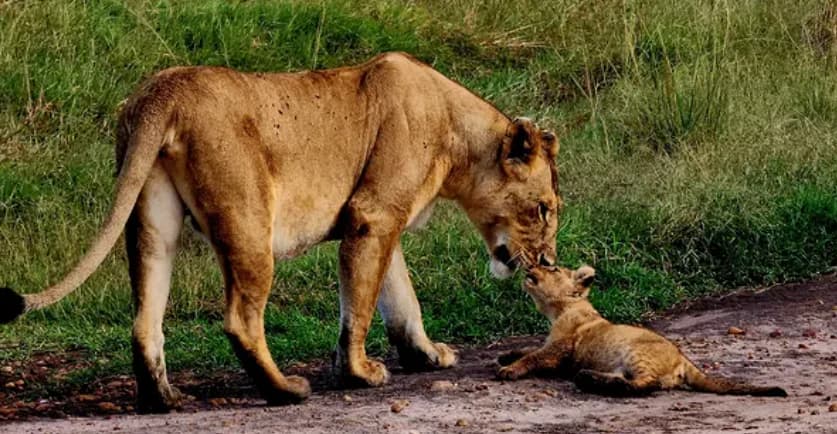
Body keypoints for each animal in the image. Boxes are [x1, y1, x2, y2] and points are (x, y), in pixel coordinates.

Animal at [0, 52, 562, 413]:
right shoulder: (373, 215)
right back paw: (286, 390)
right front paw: (358, 373)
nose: (548, 263)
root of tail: (164, 91)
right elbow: (360, 304)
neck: (456, 134)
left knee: (145, 319)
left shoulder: (382, 223)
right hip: (248, 219)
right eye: (544, 210)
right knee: (241, 320)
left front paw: (426, 356)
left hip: (150, 220)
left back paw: (165, 399)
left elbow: (401, 299)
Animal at [497, 265, 787, 397]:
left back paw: (594, 381)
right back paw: (590, 377)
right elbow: (528, 348)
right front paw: (504, 356)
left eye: (553, 268)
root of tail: (683, 359)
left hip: (636, 353)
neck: (562, 309)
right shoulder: (553, 346)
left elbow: (533, 356)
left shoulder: (559, 350)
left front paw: (508, 369)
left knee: (646, 385)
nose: (530, 266)